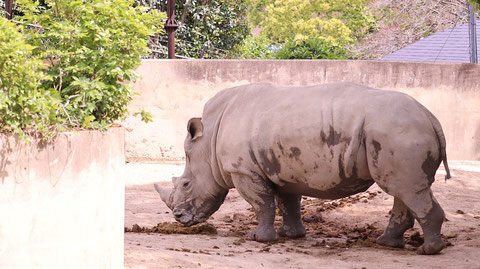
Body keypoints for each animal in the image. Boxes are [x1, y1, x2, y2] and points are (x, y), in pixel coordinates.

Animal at [156, 82, 452, 254]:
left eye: (186, 184)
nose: (178, 218)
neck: (208, 141)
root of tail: (432, 118)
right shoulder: (282, 167)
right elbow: (288, 203)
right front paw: (291, 235)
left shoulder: (244, 170)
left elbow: (261, 203)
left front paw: (259, 239)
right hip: (399, 133)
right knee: (405, 188)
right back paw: (387, 244)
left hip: (398, 132)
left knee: (406, 189)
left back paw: (428, 251)